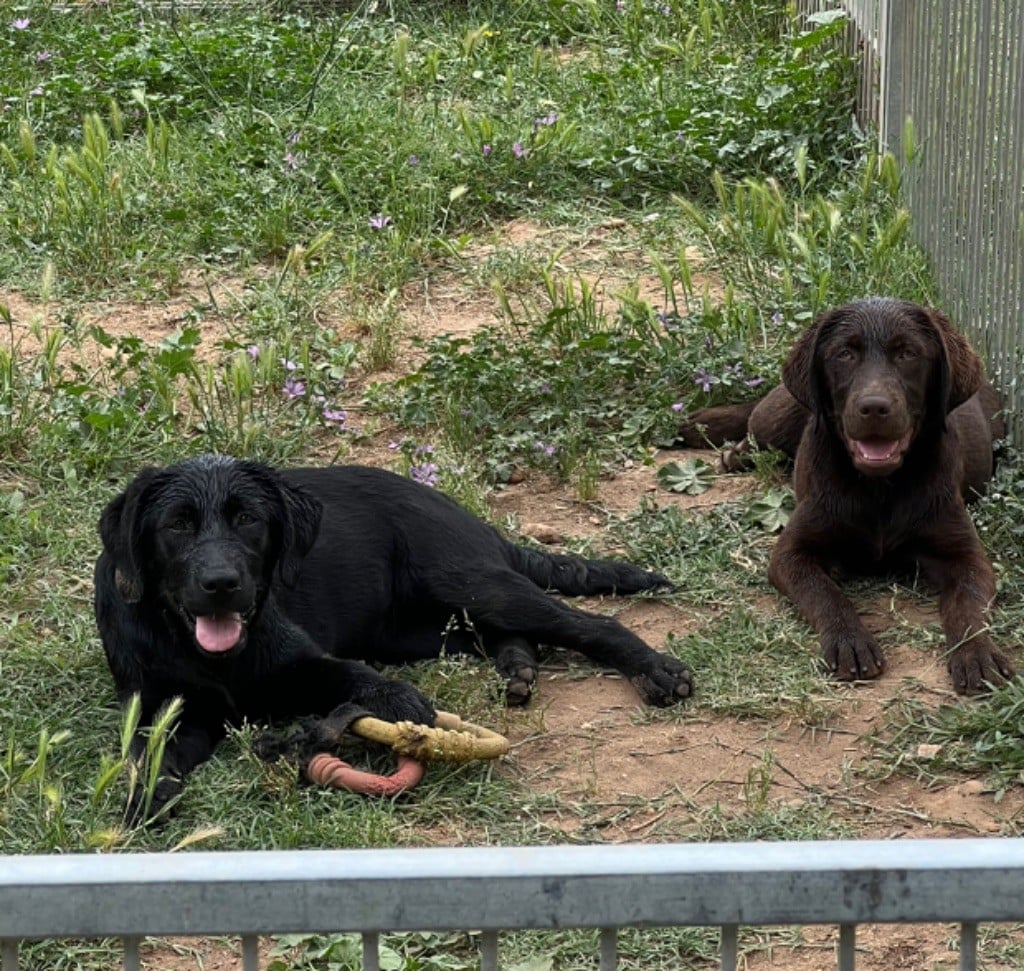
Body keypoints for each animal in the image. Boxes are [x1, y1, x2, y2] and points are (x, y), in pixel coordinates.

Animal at [96, 456, 692, 819]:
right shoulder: (168, 706)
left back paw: (658, 671)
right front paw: (145, 796)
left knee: (585, 624)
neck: (209, 656)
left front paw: (406, 710)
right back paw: (517, 669)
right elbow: (151, 750)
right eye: (176, 525)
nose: (221, 584)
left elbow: (361, 681)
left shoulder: (311, 664)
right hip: (419, 631)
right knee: (510, 634)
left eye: (249, 520)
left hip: (467, 583)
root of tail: (478, 522)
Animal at [679, 299, 1007, 692]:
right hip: (774, 420)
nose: (874, 407)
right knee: (753, 422)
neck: (879, 489)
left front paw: (977, 653)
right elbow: (826, 594)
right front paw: (850, 641)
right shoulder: (792, 552)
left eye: (908, 353)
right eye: (845, 354)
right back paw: (730, 447)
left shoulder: (966, 554)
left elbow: (969, 605)